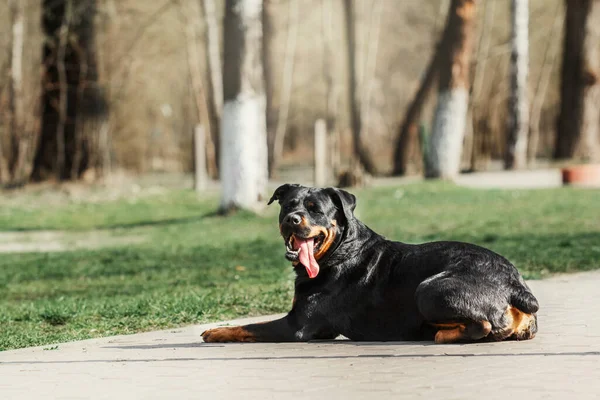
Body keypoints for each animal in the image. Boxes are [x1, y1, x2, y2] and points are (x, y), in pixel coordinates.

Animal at [203, 184, 540, 344]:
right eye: (287, 206)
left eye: (315, 209)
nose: (291, 219)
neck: (339, 251)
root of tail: (516, 284)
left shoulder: (296, 325)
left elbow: (248, 327)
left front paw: (216, 331)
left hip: (429, 289)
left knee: (483, 324)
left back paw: (440, 333)